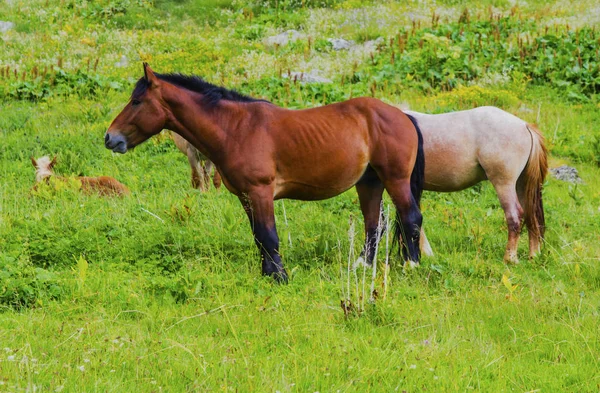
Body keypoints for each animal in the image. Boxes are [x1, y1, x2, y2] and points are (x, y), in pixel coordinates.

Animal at [106, 62, 426, 280]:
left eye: (136, 101)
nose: (110, 138)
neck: (236, 128)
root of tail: (402, 115)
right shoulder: (246, 196)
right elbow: (259, 236)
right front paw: (267, 274)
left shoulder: (260, 192)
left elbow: (269, 235)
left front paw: (279, 277)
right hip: (369, 182)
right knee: (374, 225)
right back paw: (362, 266)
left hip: (395, 179)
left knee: (410, 218)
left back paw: (411, 265)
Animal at [404, 105, 548, 262]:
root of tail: (524, 126)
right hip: (521, 185)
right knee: (531, 216)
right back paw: (533, 255)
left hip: (504, 185)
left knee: (514, 216)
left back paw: (510, 259)